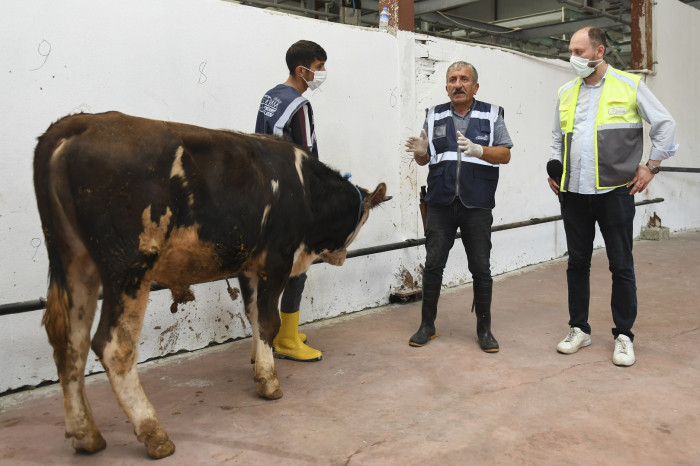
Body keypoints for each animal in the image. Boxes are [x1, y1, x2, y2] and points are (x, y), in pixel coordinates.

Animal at [34, 111, 388, 456]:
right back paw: (152, 432)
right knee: (114, 346)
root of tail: (79, 122)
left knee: (71, 343)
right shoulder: (276, 259)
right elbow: (269, 320)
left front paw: (258, 364)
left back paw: (86, 435)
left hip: (75, 263)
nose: (342, 256)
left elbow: (254, 316)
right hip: (128, 267)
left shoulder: (248, 265)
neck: (305, 188)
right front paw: (269, 382)